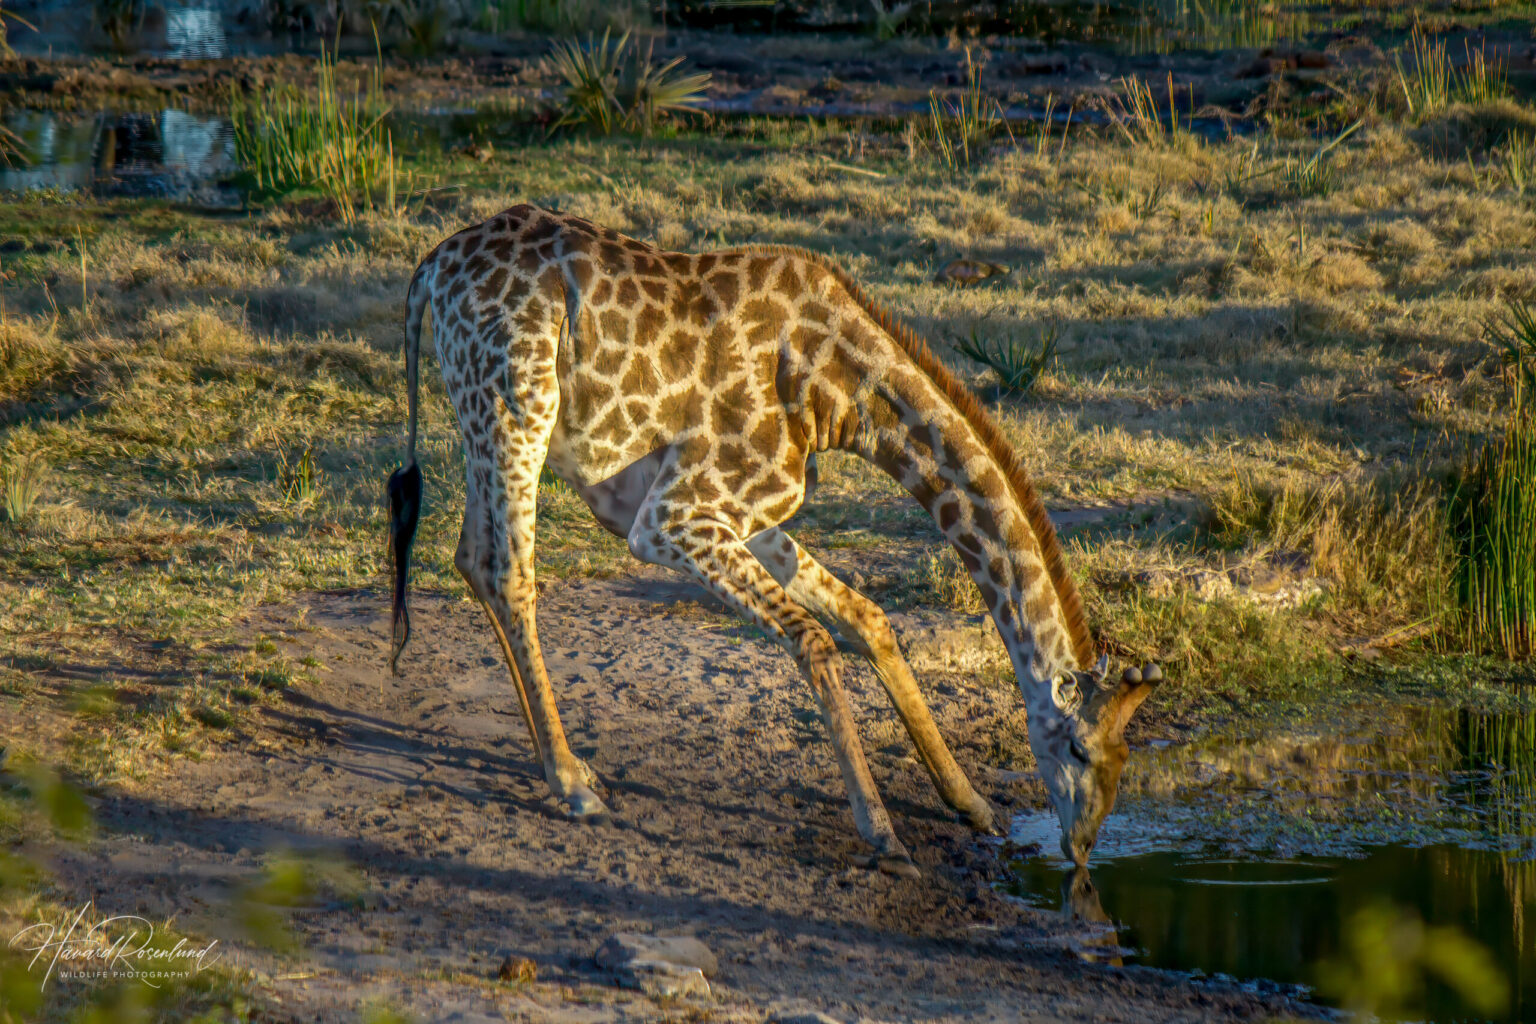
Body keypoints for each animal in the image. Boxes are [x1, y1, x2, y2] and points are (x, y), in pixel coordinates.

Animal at [386, 205, 1162, 877]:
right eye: (1079, 749)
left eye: (1125, 759)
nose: (1082, 848)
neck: (844, 394)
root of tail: (430, 267)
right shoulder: (671, 516)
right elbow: (813, 640)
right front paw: (883, 835)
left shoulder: (749, 511)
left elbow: (866, 619)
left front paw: (971, 803)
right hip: (517, 404)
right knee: (507, 569)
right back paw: (572, 782)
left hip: (482, 416)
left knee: (471, 557)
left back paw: (556, 764)